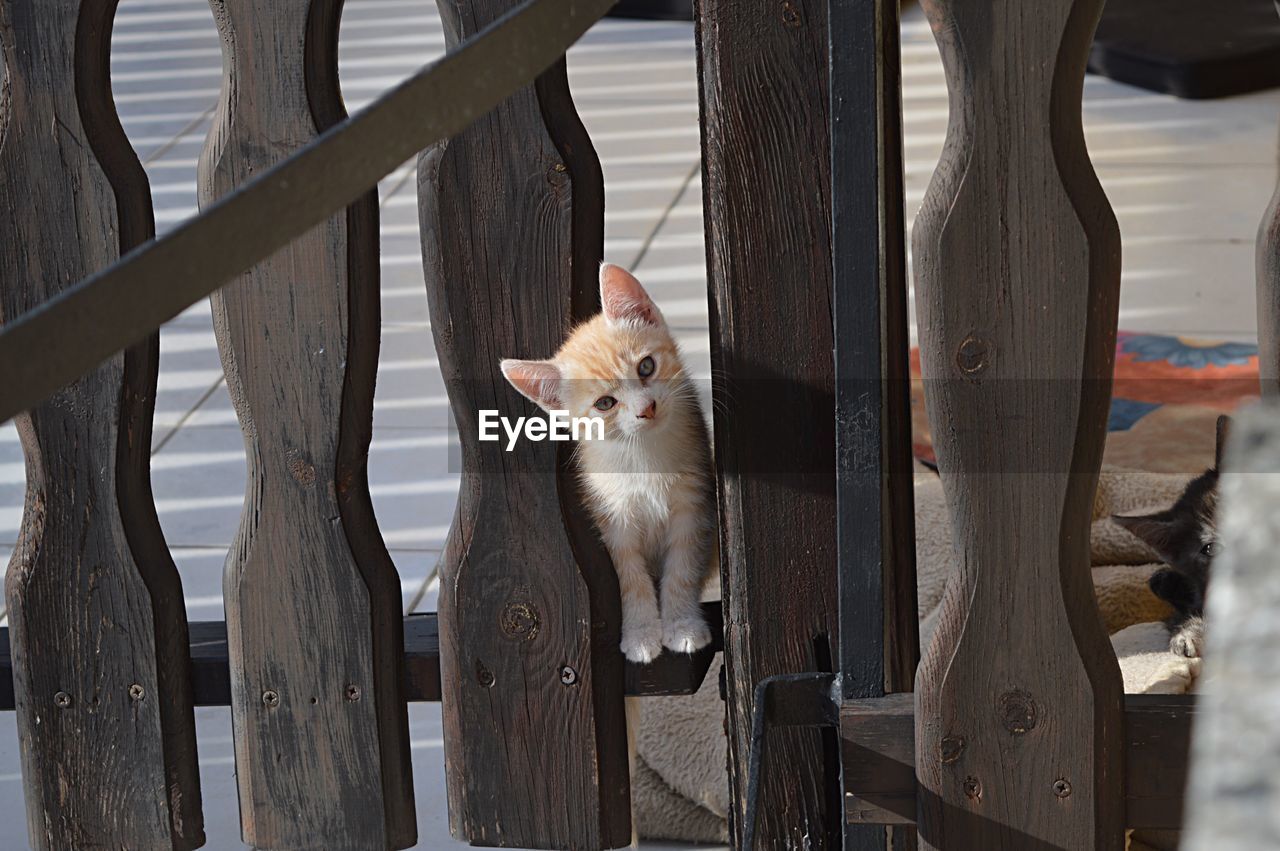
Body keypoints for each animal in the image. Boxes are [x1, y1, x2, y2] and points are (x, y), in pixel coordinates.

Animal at [501, 262, 721, 660]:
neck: (644, 457)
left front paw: (682, 624)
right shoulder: (612, 516)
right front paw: (641, 633)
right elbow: (630, 577)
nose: (647, 408)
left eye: (646, 366)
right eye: (605, 403)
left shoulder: (694, 503)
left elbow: (682, 568)